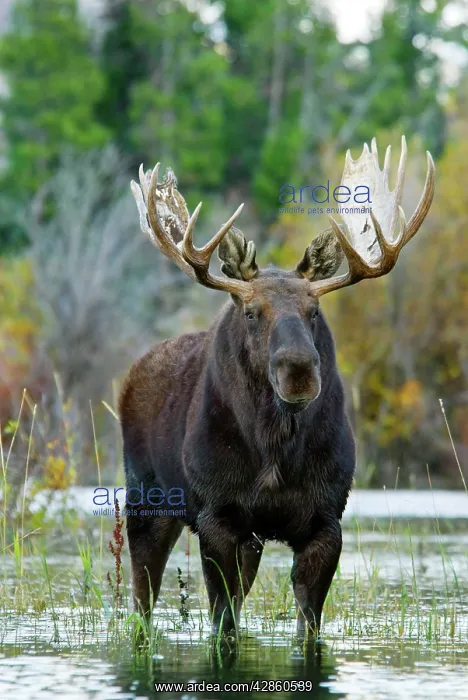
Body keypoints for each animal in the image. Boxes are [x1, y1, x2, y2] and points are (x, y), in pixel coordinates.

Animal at [119, 137, 434, 637]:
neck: (273, 450)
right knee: (141, 598)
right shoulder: (216, 516)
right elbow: (223, 624)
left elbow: (308, 625)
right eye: (251, 313)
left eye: (314, 312)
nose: (299, 370)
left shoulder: (325, 520)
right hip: (146, 502)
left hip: (246, 538)